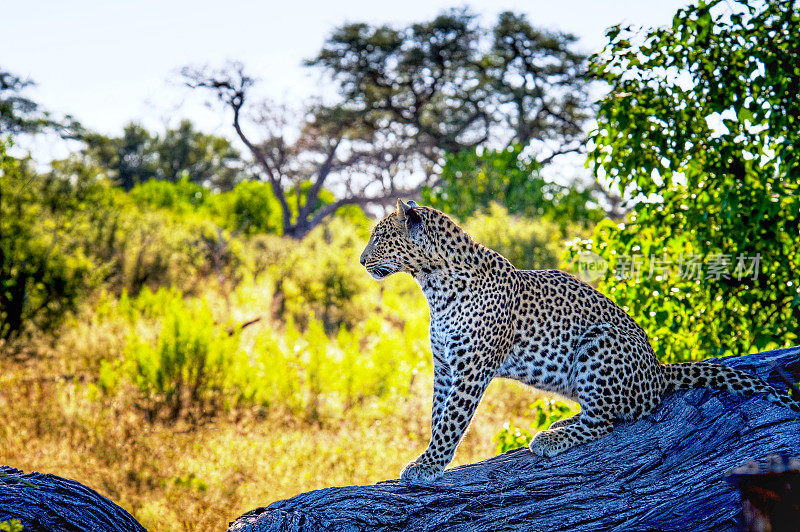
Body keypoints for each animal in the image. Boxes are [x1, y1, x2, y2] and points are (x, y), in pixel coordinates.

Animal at [358, 200, 800, 482]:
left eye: (380, 237)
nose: (362, 260)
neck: (432, 283)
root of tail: (659, 369)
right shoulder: (446, 365)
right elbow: (437, 416)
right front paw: (429, 457)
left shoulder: (471, 367)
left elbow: (452, 419)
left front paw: (428, 465)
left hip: (599, 342)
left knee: (605, 420)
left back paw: (551, 437)